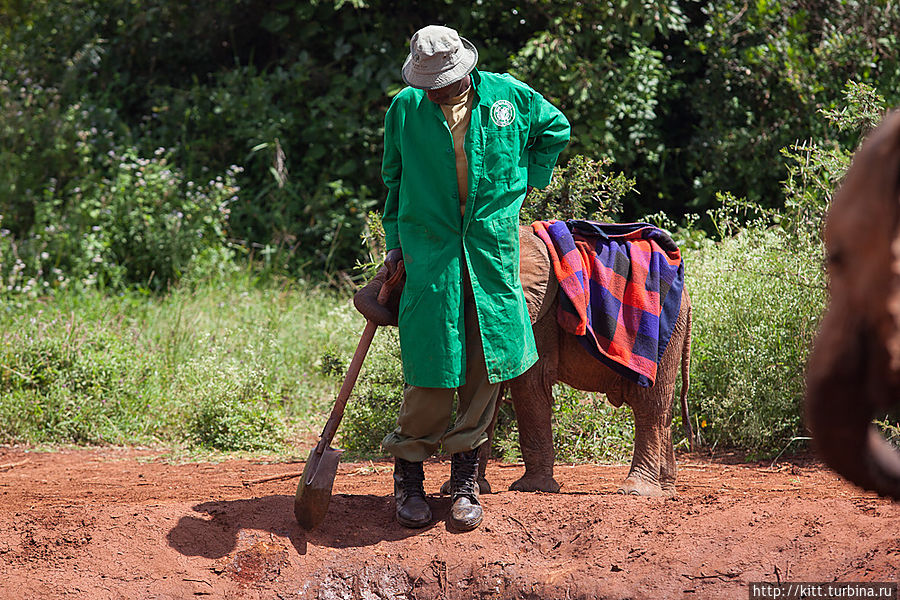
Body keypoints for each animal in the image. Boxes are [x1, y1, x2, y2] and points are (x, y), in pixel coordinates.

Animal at [356, 224, 692, 496]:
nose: (390, 270)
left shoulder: (535, 313)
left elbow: (528, 383)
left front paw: (531, 488)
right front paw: (463, 489)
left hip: (662, 332)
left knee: (649, 405)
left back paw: (637, 491)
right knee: (663, 410)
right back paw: (666, 491)